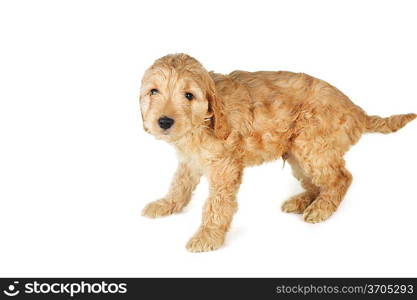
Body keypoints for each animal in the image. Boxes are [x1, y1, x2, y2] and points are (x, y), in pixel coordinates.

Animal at [139, 53, 412, 251]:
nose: (164, 122)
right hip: (298, 154)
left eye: (189, 95)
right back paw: (302, 201)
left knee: (340, 178)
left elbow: (217, 204)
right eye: (153, 91)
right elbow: (179, 184)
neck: (204, 122)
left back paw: (321, 208)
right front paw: (166, 205)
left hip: (312, 145)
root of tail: (356, 109)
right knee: (317, 183)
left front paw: (208, 235)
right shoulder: (189, 161)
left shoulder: (225, 167)